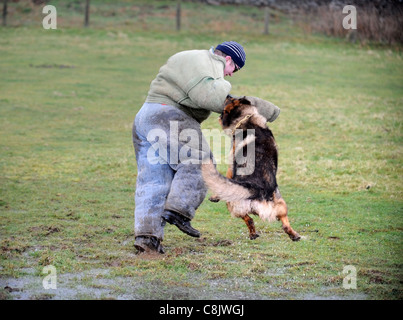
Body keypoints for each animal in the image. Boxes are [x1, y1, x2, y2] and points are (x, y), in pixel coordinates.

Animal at [202, 96, 300, 241]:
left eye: (230, 99)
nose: (228, 95)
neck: (247, 118)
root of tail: (256, 188)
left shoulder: (231, 161)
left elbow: (228, 175)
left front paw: (215, 196)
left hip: (233, 204)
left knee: (248, 219)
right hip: (280, 204)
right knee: (281, 222)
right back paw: (293, 235)